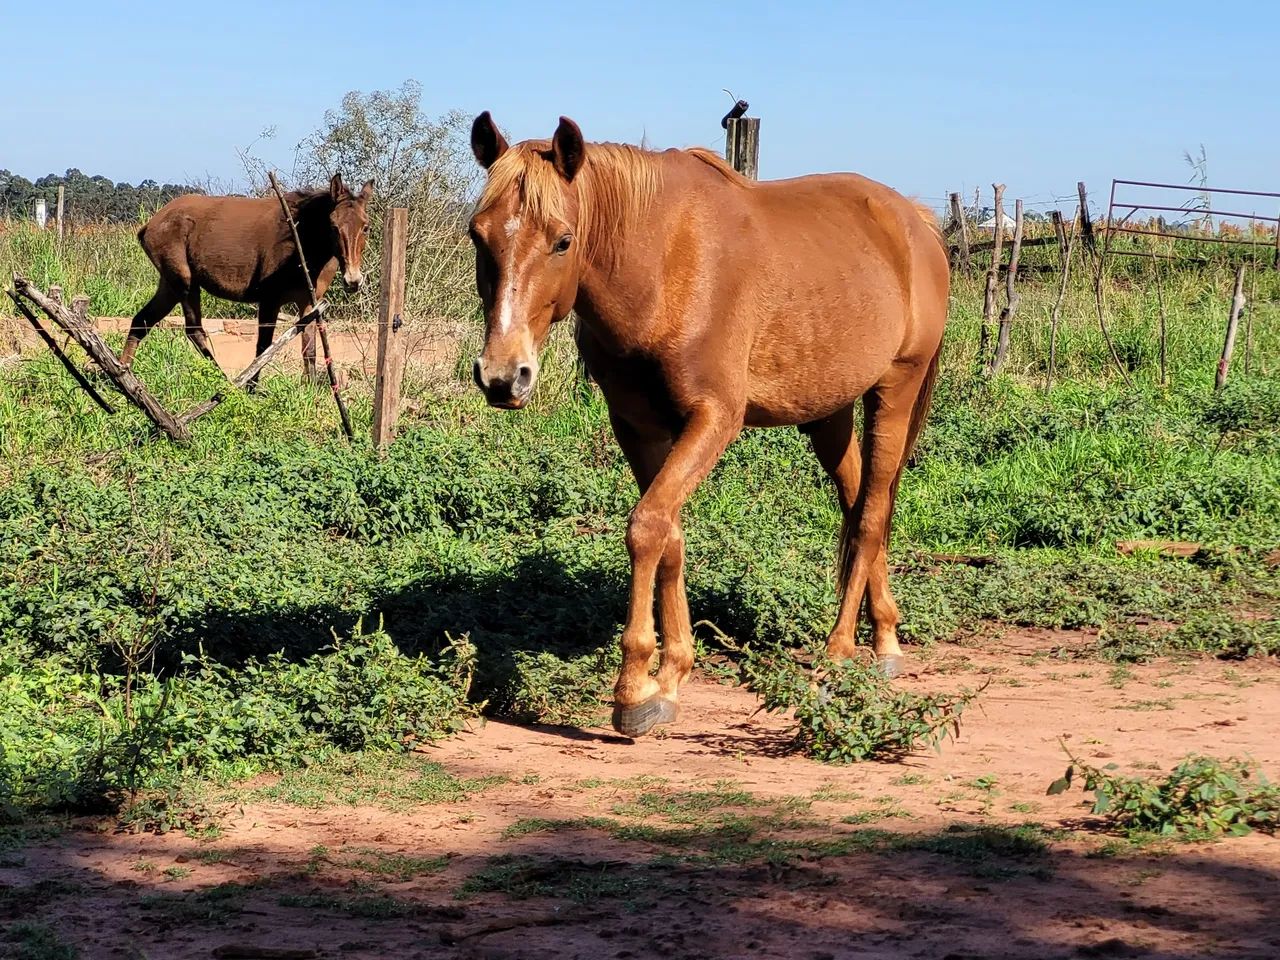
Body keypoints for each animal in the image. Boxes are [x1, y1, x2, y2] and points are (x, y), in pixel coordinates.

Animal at [122, 174, 373, 383]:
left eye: (366, 226)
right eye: (333, 226)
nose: (353, 281)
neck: (302, 243)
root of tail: (149, 225)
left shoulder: (310, 302)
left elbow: (309, 350)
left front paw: (311, 391)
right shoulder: (270, 300)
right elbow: (263, 347)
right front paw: (253, 388)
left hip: (169, 285)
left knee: (141, 321)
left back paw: (123, 375)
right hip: (184, 281)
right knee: (194, 330)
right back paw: (227, 383)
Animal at [467, 112, 948, 738]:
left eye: (562, 240)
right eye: (478, 235)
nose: (504, 377)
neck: (663, 266)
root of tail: (913, 219)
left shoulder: (714, 419)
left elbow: (646, 526)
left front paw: (633, 691)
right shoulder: (638, 426)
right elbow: (668, 536)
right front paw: (670, 676)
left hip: (895, 390)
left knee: (869, 518)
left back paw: (840, 655)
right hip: (830, 413)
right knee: (862, 501)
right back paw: (885, 638)